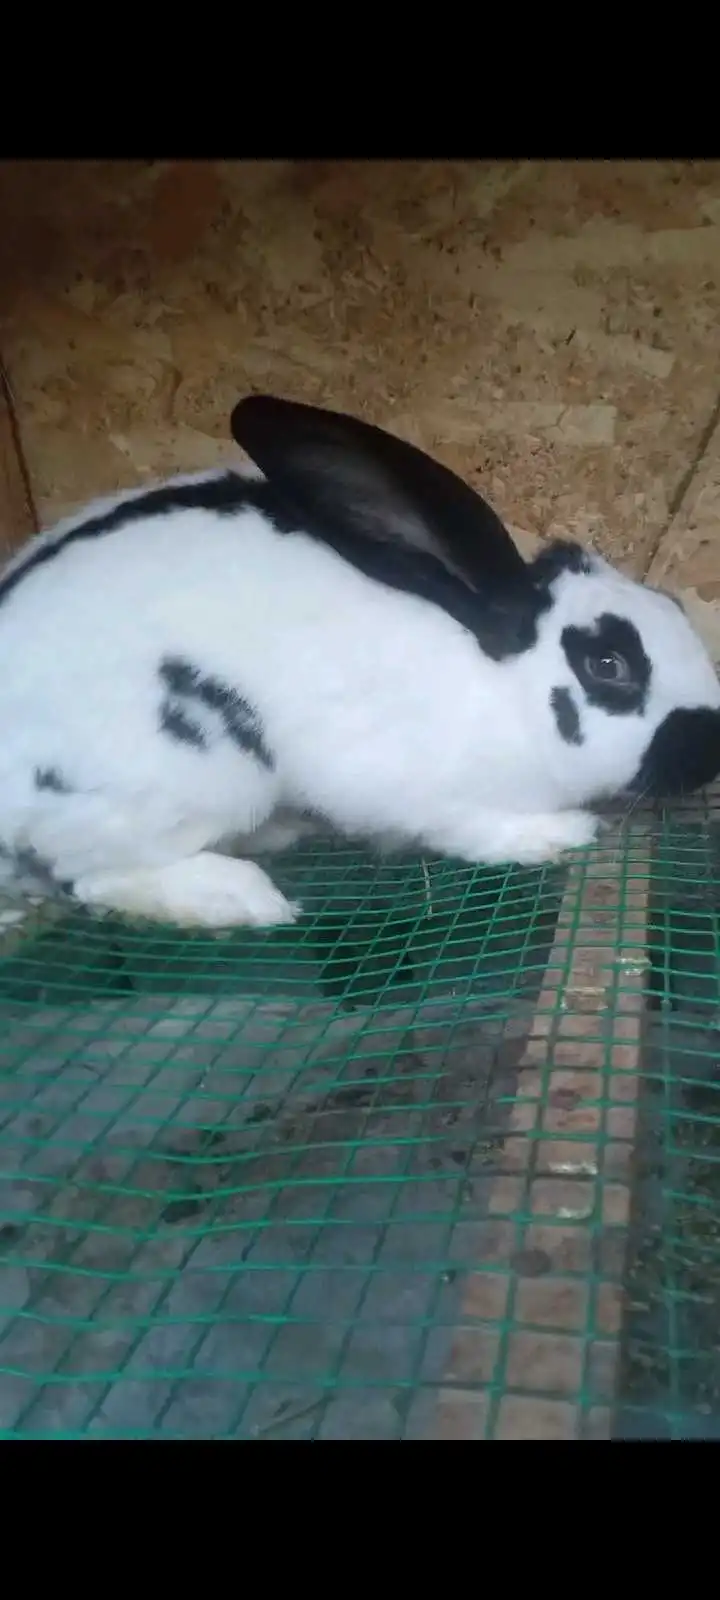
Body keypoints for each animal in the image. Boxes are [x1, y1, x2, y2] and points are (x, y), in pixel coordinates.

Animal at [0, 392, 718, 930]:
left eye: (674, 606)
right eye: (608, 665)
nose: (710, 743)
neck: (501, 683)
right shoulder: (423, 791)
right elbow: (470, 829)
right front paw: (556, 835)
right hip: (191, 777)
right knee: (96, 878)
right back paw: (242, 897)